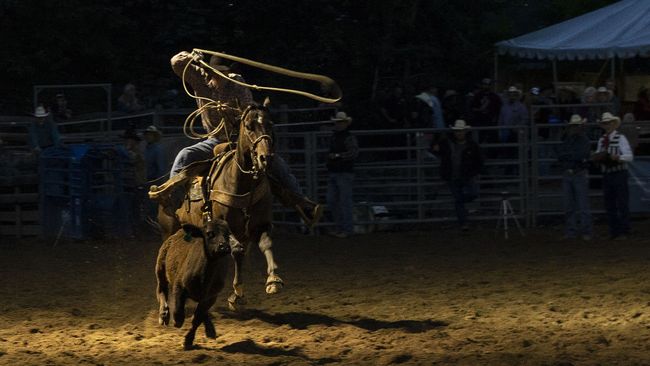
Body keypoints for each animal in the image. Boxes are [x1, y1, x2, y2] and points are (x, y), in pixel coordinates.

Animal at [159, 100, 280, 312]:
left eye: (270, 124)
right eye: (249, 126)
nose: (266, 158)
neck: (242, 182)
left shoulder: (260, 224)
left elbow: (265, 244)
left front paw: (272, 281)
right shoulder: (224, 225)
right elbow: (237, 251)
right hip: (169, 229)